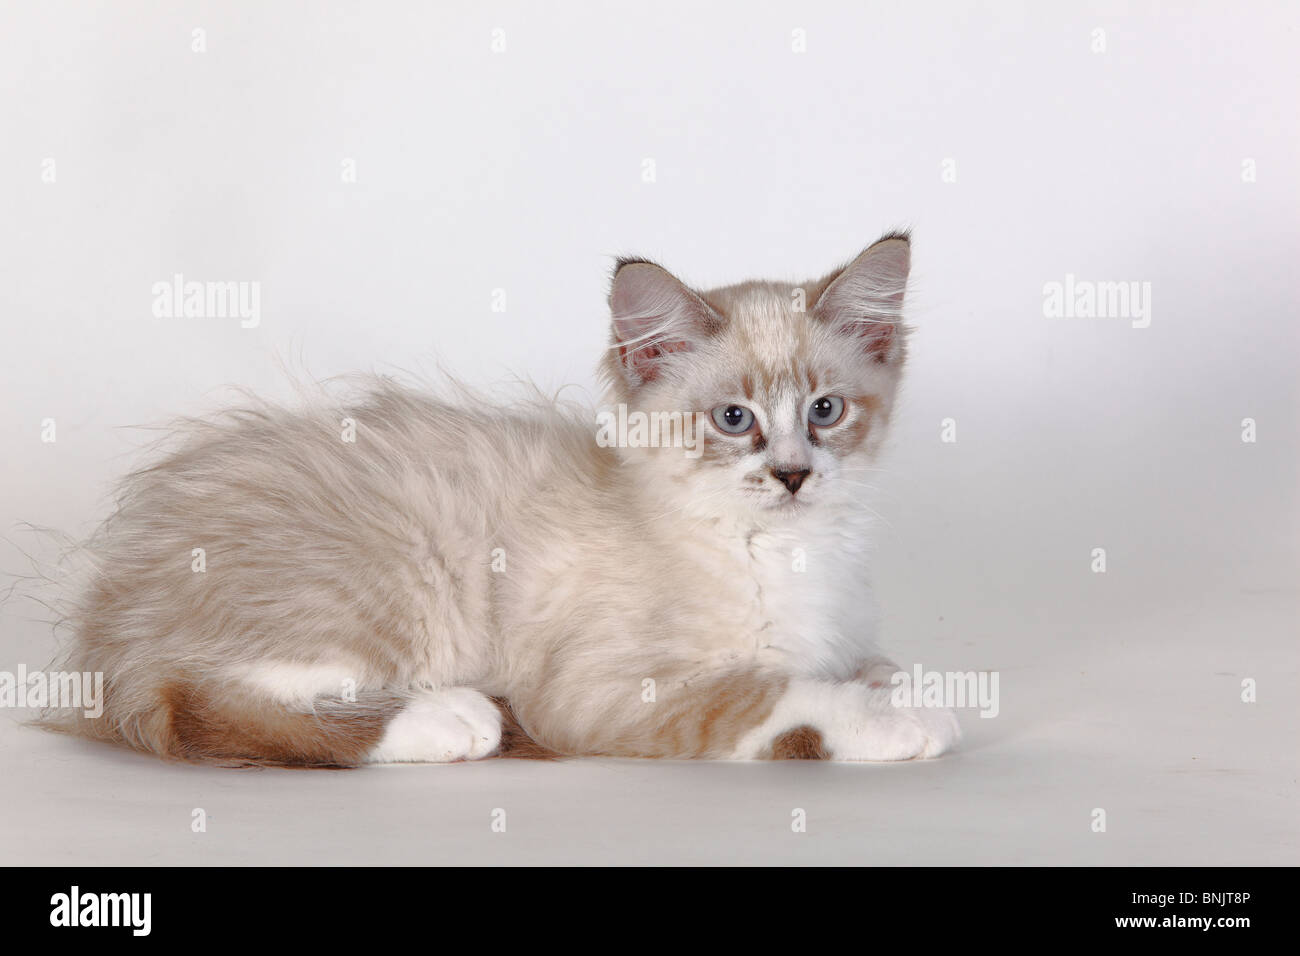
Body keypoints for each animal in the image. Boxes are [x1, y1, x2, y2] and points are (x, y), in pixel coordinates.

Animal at [45, 234, 956, 770]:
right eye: (735, 420)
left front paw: (905, 690)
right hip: (383, 583)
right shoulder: (601, 690)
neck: (789, 553)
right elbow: (780, 698)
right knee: (208, 708)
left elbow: (872, 666)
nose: (795, 475)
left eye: (825, 411)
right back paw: (453, 719)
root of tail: (114, 622)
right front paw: (896, 722)